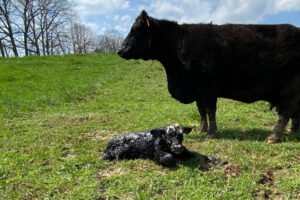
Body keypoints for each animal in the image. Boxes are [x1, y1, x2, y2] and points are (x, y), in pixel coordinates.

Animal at [118, 10, 300, 144]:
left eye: (135, 31)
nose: (120, 50)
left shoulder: (206, 87)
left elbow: (210, 109)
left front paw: (211, 133)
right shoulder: (197, 90)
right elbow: (201, 110)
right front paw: (201, 129)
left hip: (288, 90)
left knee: (285, 113)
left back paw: (273, 137)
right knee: (294, 113)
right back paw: (292, 132)